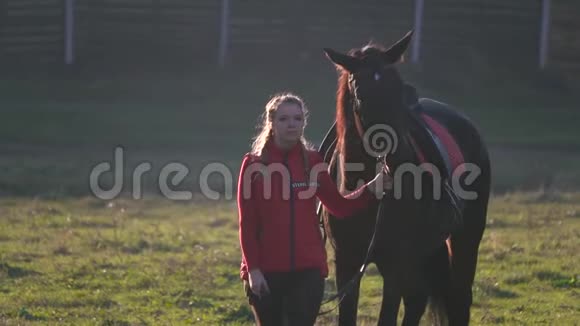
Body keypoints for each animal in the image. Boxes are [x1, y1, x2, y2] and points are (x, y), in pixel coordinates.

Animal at [320, 29, 492, 324]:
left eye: (398, 90)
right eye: (361, 96)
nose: (401, 161)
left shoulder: (396, 264)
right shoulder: (347, 262)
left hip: (465, 238)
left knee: (457, 299)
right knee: (417, 300)